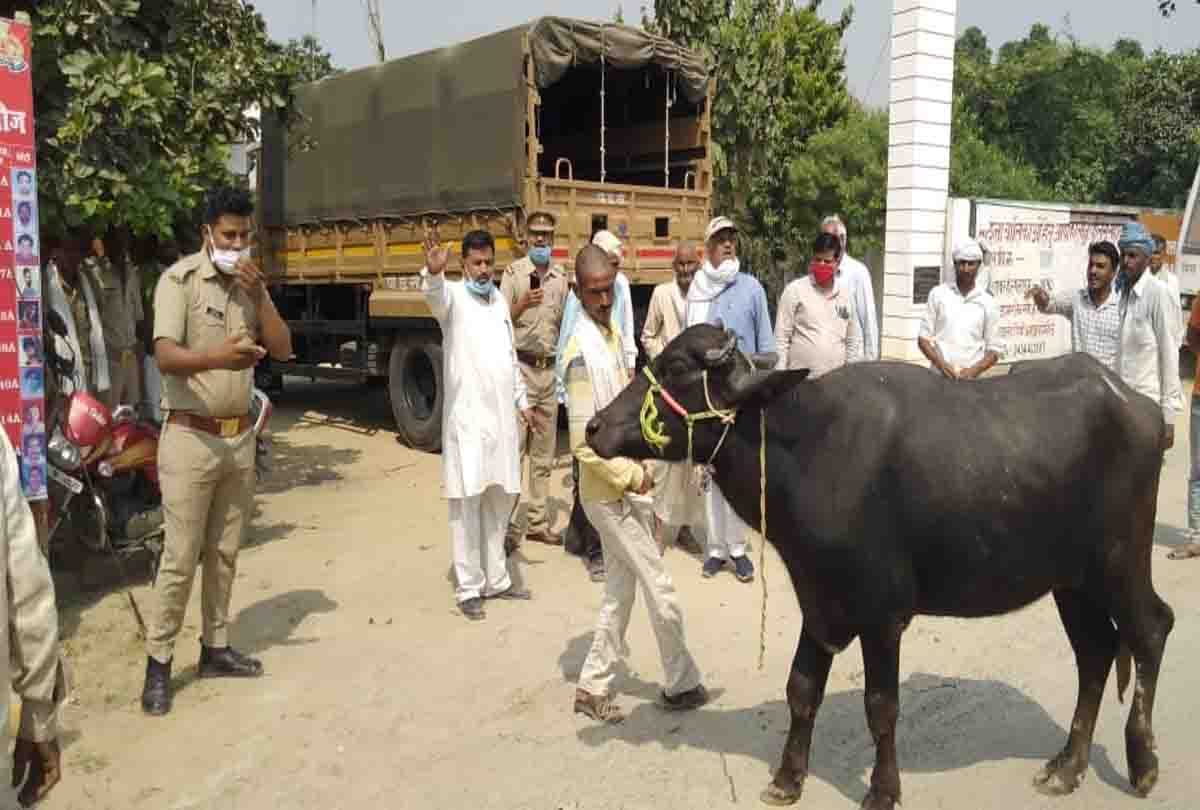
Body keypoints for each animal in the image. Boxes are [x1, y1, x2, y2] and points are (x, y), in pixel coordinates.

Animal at [584, 323, 1173, 810]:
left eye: (677, 369)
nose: (592, 427)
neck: (810, 448)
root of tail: (1142, 408)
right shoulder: (820, 602)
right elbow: (801, 689)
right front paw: (787, 778)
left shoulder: (882, 616)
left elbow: (881, 705)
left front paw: (882, 789)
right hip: (1072, 581)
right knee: (1096, 653)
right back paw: (1067, 766)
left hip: (1121, 560)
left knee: (1150, 629)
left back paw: (1143, 762)